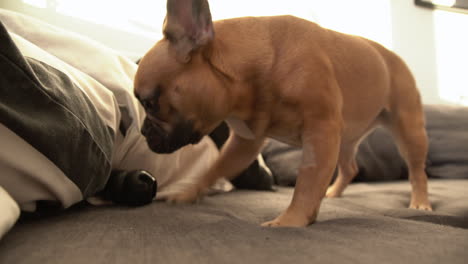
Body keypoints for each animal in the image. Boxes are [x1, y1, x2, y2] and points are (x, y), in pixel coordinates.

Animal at [133, 0, 432, 227]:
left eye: (149, 103)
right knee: (350, 168)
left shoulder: (320, 131)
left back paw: (420, 202)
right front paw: (187, 194)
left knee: (417, 171)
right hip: (345, 139)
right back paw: (333, 192)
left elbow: (308, 178)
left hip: (409, 129)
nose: (144, 130)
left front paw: (291, 221)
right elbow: (216, 167)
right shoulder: (245, 142)